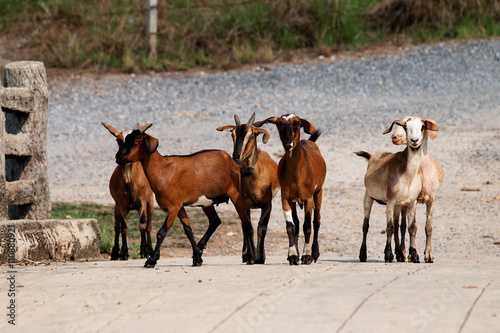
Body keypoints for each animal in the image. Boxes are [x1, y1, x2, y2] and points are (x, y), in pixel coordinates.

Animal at [101, 122, 154, 260]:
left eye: (135, 141)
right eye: (118, 140)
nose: (120, 157)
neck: (130, 184)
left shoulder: (142, 201)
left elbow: (143, 224)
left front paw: (144, 251)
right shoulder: (121, 204)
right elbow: (124, 227)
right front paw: (124, 252)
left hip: (150, 202)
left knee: (149, 225)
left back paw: (150, 249)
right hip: (117, 207)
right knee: (117, 226)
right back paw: (115, 253)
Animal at [115, 123, 256, 266]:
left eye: (136, 141)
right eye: (124, 140)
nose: (118, 157)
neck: (162, 170)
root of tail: (233, 164)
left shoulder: (173, 208)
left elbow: (161, 232)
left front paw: (151, 260)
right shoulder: (179, 206)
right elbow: (188, 230)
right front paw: (197, 258)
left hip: (236, 195)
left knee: (246, 224)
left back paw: (250, 257)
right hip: (207, 203)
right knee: (215, 221)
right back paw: (201, 248)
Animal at [216, 113, 280, 264]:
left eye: (251, 136)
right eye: (232, 135)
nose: (236, 157)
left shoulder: (267, 205)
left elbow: (261, 228)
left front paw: (260, 257)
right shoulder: (242, 205)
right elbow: (248, 228)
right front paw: (251, 257)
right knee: (244, 226)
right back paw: (245, 254)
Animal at [254, 114, 328, 264]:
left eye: (297, 123)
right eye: (279, 124)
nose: (288, 142)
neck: (296, 174)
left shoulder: (308, 198)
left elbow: (307, 226)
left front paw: (307, 256)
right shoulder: (286, 198)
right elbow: (291, 227)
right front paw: (293, 256)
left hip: (318, 192)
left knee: (316, 221)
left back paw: (315, 253)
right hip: (294, 201)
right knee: (297, 223)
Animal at [354, 116, 440, 262]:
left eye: (422, 126)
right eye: (406, 127)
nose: (414, 140)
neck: (408, 175)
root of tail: (372, 157)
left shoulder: (411, 202)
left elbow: (411, 228)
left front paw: (414, 255)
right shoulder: (390, 201)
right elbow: (389, 227)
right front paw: (388, 255)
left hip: (398, 206)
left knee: (397, 226)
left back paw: (399, 254)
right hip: (368, 197)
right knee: (366, 225)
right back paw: (363, 254)